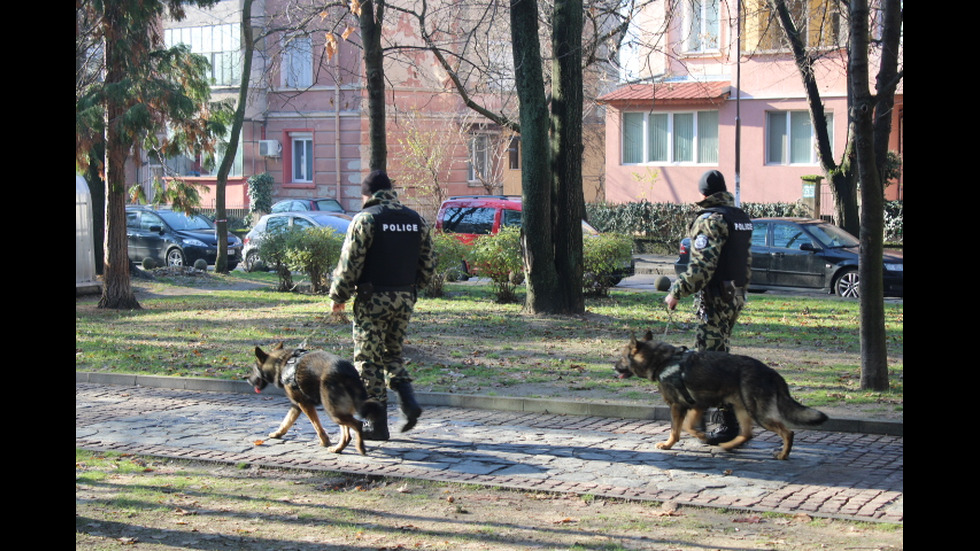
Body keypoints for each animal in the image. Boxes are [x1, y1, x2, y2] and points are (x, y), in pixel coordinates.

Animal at [249, 344, 382, 458]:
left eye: (254, 369)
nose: (248, 380)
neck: (282, 363)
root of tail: (347, 372)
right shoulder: (296, 405)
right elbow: (286, 422)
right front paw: (278, 433)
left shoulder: (305, 404)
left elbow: (316, 426)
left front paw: (325, 441)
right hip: (338, 410)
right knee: (347, 434)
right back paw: (338, 449)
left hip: (333, 412)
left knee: (357, 424)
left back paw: (359, 447)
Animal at [612, 334, 828, 460]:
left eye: (621, 358)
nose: (613, 367)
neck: (662, 361)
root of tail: (772, 372)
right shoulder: (697, 405)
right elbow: (689, 426)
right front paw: (701, 435)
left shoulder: (677, 406)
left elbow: (676, 430)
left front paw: (668, 445)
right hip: (742, 409)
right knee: (747, 434)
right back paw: (727, 445)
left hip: (758, 413)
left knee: (787, 432)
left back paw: (783, 454)